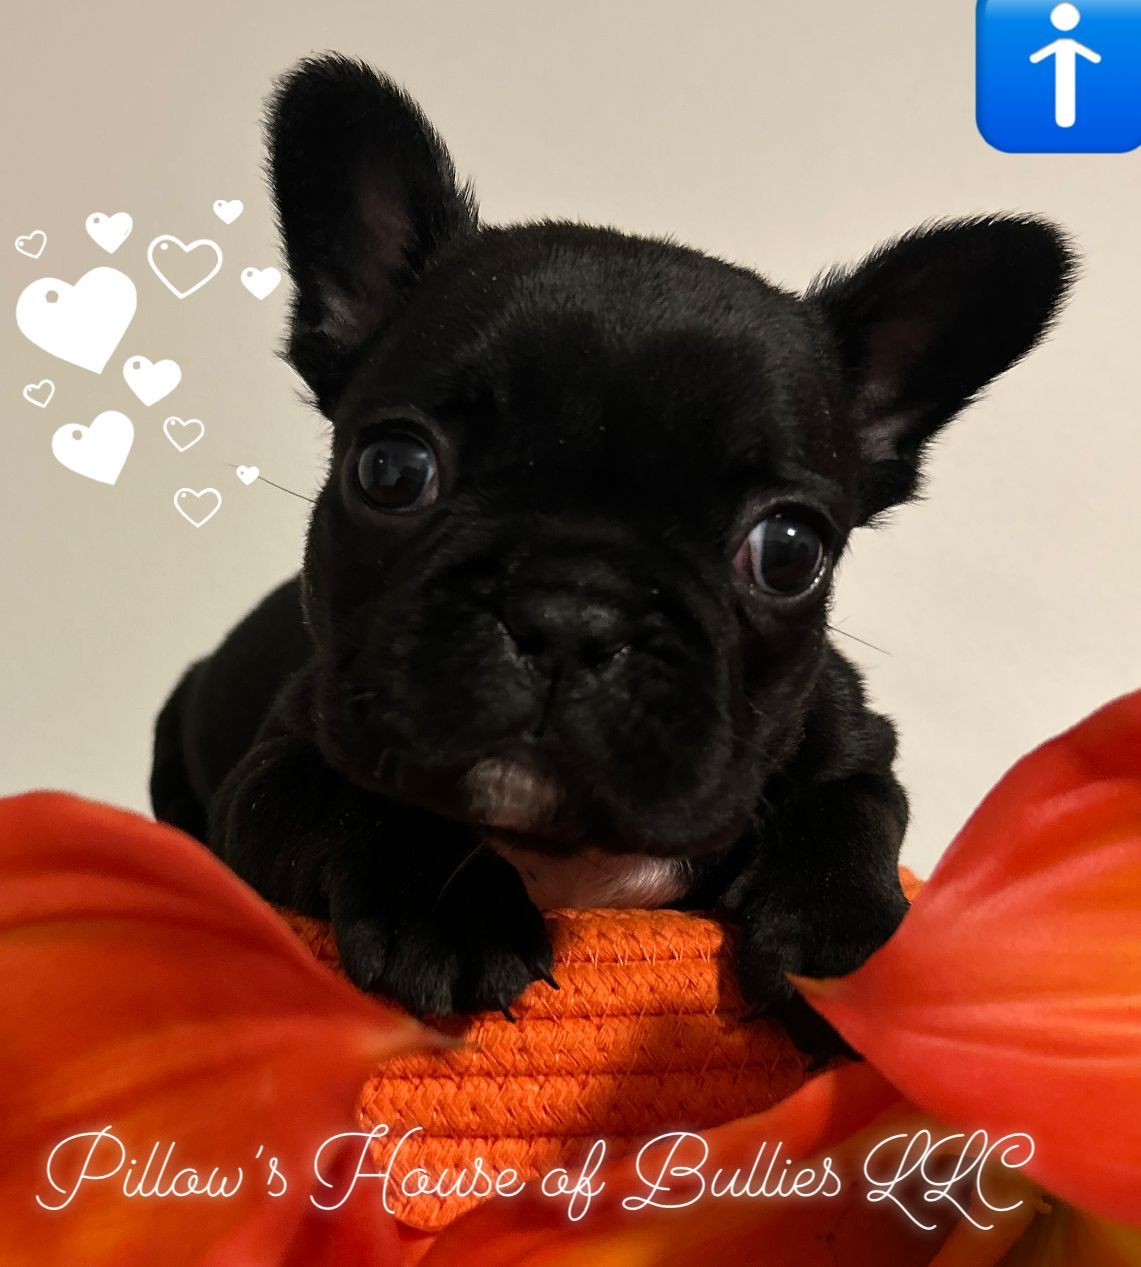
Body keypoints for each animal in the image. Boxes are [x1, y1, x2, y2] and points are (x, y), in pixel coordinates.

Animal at [151, 54, 1074, 1053]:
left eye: (789, 552)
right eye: (391, 470)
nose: (569, 613)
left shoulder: (856, 744)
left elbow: (853, 810)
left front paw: (850, 952)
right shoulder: (278, 768)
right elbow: (355, 801)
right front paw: (451, 915)